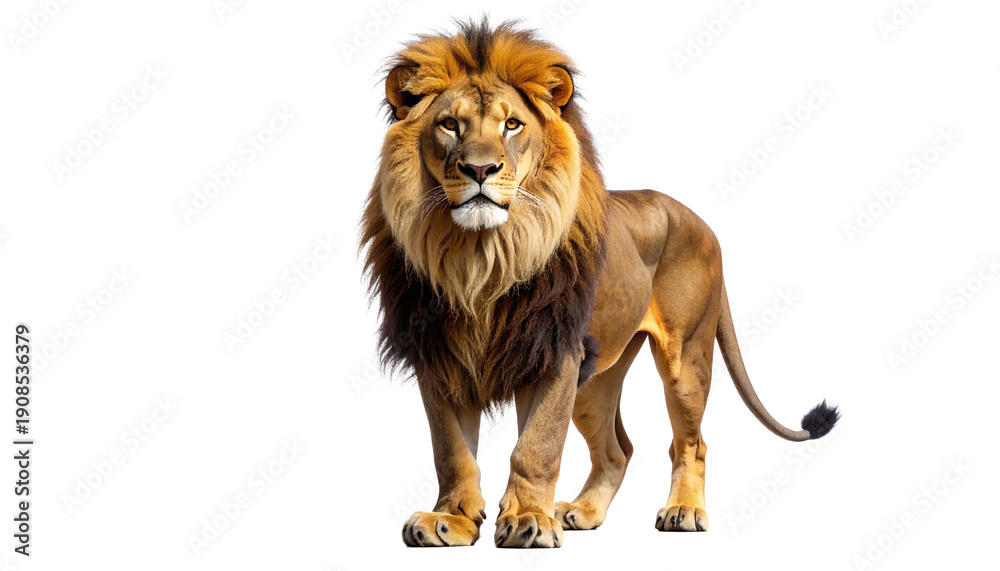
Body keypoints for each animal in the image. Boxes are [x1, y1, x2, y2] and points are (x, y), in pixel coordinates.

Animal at [360, 19, 839, 548]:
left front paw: (528, 519)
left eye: (512, 125)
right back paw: (582, 512)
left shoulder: (554, 351)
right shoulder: (438, 354)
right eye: (450, 125)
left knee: (691, 443)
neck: (483, 258)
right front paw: (451, 519)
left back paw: (683, 511)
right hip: (596, 379)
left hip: (685, 359)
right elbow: (451, 451)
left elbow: (537, 446)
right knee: (617, 450)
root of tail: (702, 221)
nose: (480, 169)